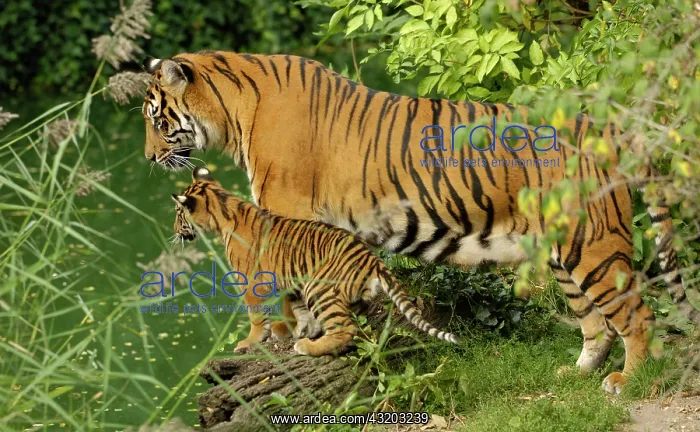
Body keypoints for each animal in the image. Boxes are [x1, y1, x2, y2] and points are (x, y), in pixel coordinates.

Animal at [171, 165, 461, 356]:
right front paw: (302, 329)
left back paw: (307, 348)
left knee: (345, 329)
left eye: (178, 212)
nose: (175, 230)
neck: (224, 207)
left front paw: (250, 341)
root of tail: (372, 260)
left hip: (319, 287)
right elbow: (298, 310)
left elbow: (256, 316)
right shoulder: (290, 279)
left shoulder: (252, 282)